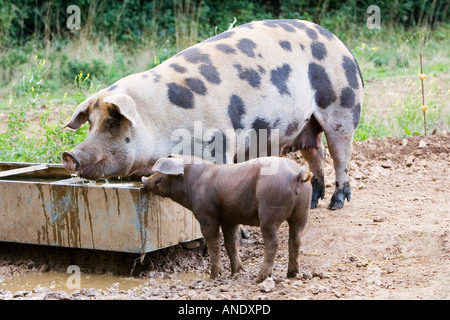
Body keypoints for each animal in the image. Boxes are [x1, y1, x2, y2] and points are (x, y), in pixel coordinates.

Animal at [63, 19, 364, 210]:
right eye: (91, 124)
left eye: (113, 124)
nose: (70, 155)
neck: (158, 119)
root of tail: (342, 44)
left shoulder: (218, 144)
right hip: (307, 123)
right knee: (316, 151)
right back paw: (313, 203)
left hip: (343, 105)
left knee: (341, 154)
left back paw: (336, 204)